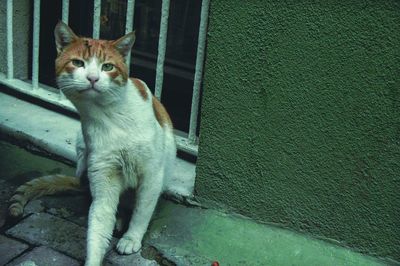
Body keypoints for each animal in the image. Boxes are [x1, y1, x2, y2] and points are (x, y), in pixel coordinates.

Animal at [8, 21, 178, 266]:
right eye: (78, 63)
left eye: (108, 66)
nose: (93, 78)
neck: (110, 116)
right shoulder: (104, 177)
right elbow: (98, 225)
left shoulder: (151, 174)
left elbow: (142, 211)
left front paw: (131, 238)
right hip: (83, 156)